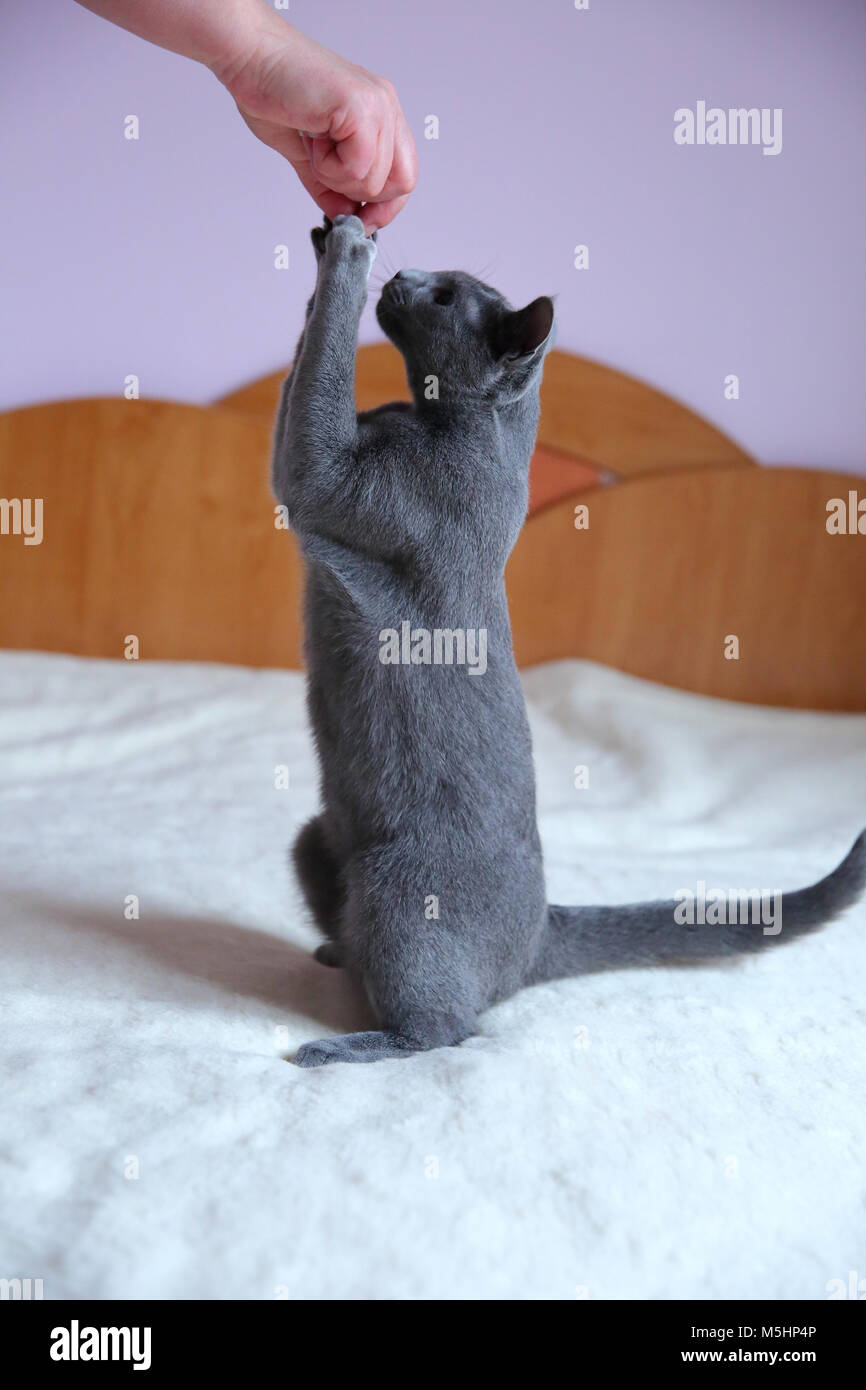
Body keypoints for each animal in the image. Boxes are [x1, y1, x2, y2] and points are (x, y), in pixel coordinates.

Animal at [272, 214, 866, 1061]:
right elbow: (300, 376)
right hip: (316, 839)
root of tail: (537, 937)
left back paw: (346, 1045)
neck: (442, 422)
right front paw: (333, 235)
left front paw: (350, 249)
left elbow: (318, 387)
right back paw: (333, 956)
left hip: (399, 892)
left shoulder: (326, 480)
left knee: (450, 1029)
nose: (405, 275)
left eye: (446, 296)